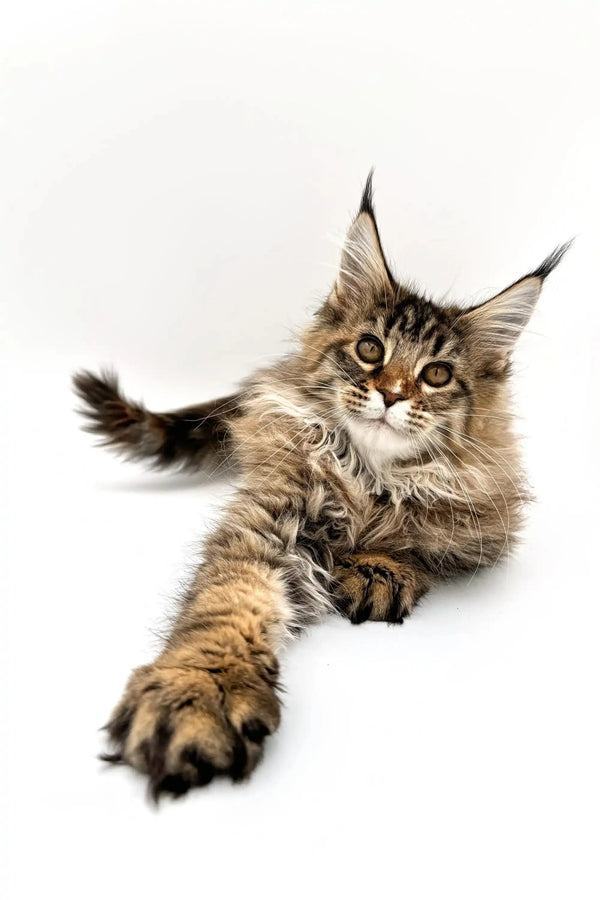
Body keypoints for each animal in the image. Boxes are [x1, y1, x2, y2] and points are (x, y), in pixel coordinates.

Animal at [72, 172, 568, 800]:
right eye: (370, 349)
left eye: (436, 375)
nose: (392, 394)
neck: (368, 477)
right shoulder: (270, 514)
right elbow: (228, 599)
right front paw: (200, 689)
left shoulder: (478, 513)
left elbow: (423, 533)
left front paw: (378, 567)